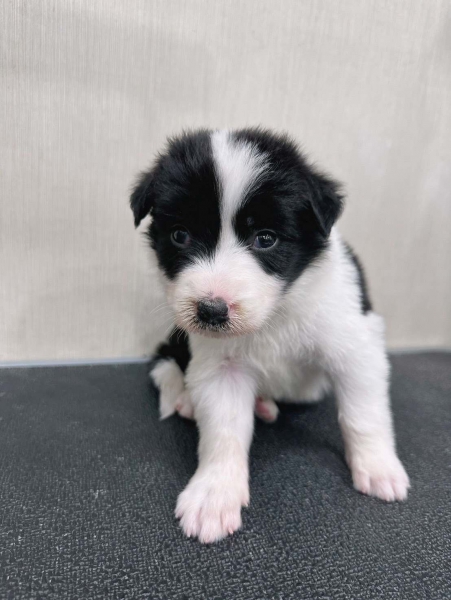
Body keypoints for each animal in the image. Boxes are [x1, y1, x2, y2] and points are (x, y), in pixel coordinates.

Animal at [130, 128, 410, 543]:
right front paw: (214, 495)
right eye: (180, 235)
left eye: (265, 238)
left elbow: (363, 413)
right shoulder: (219, 365)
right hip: (179, 340)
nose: (210, 311)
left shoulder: (353, 342)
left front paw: (378, 467)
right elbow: (224, 430)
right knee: (168, 367)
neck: (273, 317)